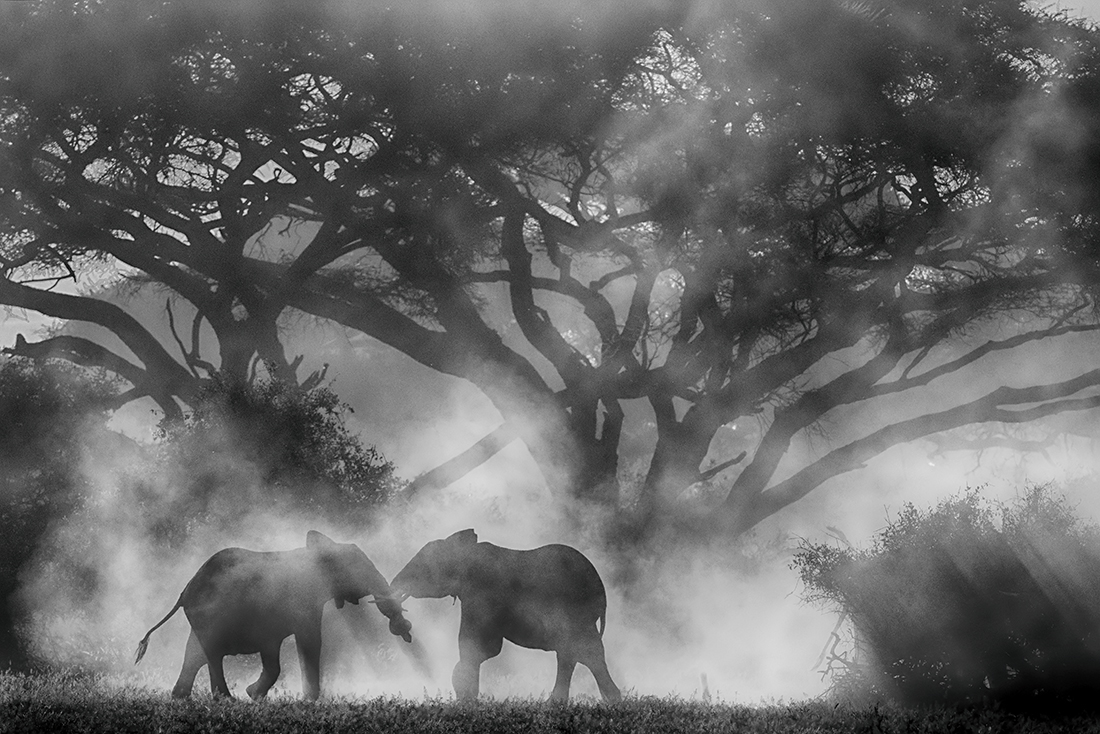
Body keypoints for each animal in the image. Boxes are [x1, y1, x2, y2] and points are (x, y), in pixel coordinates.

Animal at [134, 530, 412, 700]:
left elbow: (273, 654)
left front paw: (254, 694)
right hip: (209, 615)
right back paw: (226, 700)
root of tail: (185, 591)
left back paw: (182, 697)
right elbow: (309, 641)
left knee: (196, 654)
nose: (404, 629)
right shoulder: (301, 602)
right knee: (210, 653)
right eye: (358, 568)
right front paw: (306, 700)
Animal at [390, 529, 621, 702]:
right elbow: (485, 650)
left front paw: (465, 700)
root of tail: (601, 587)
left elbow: (477, 647)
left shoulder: (480, 595)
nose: (393, 586)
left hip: (575, 610)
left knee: (583, 651)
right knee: (574, 653)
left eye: (422, 563)